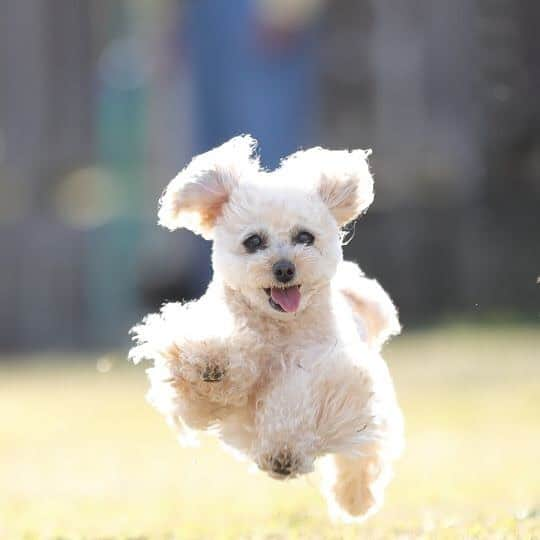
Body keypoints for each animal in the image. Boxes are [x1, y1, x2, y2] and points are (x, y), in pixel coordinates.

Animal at [130, 136, 400, 524]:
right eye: (254, 241)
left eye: (305, 237)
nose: (284, 268)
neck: (279, 331)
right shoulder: (203, 396)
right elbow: (202, 380)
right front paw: (212, 363)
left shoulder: (330, 376)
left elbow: (297, 400)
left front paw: (283, 453)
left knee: (362, 455)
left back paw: (354, 499)